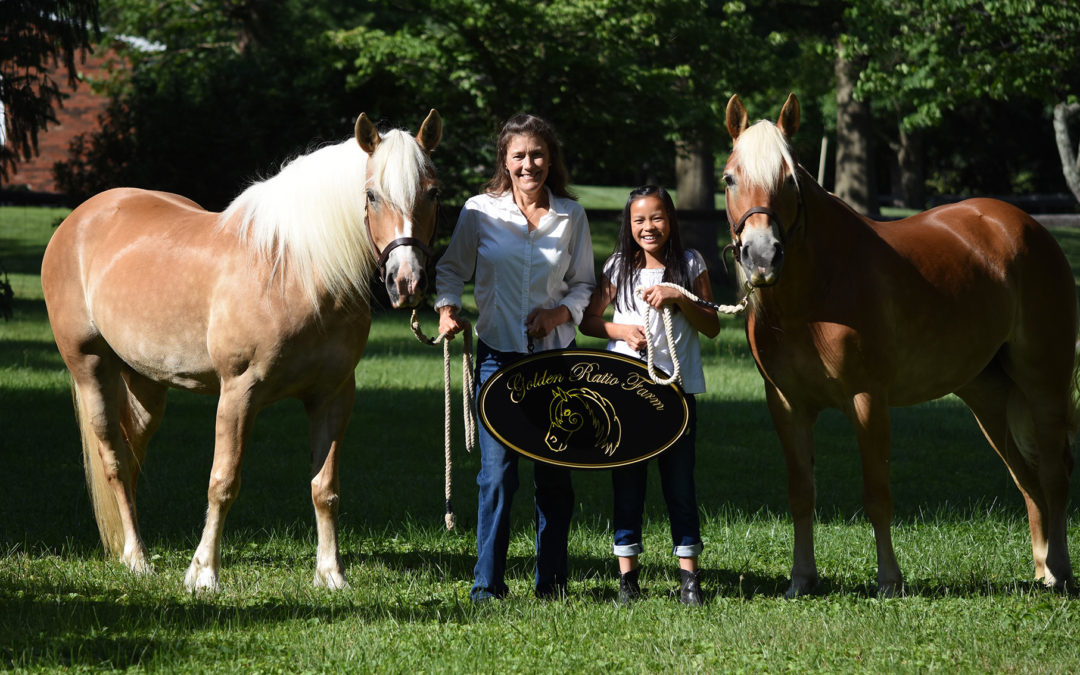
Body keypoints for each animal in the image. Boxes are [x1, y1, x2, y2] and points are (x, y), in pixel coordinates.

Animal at [39, 109, 440, 587]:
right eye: (372, 195)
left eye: (434, 192)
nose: (407, 282)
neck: (295, 271)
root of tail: (78, 220)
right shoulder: (238, 393)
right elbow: (223, 482)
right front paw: (203, 573)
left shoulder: (334, 396)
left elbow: (324, 489)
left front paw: (331, 574)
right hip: (90, 368)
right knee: (115, 459)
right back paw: (137, 558)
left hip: (146, 386)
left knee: (133, 456)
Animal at [721, 93, 1075, 596]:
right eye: (730, 178)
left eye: (789, 178)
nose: (762, 256)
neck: (816, 294)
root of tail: (1025, 226)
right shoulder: (787, 404)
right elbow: (801, 494)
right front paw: (801, 579)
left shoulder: (868, 399)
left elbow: (877, 495)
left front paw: (889, 580)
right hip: (988, 396)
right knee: (1026, 478)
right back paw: (1043, 568)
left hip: (1044, 383)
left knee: (1053, 472)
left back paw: (1059, 570)